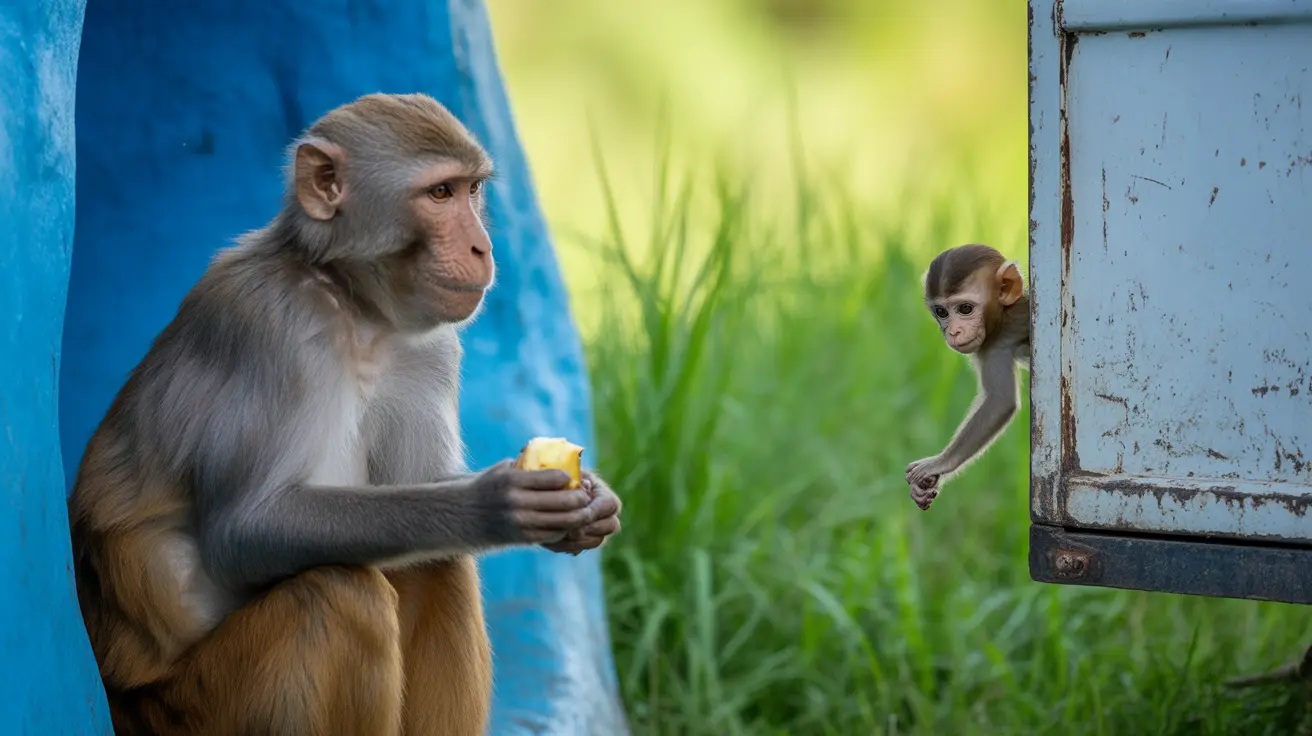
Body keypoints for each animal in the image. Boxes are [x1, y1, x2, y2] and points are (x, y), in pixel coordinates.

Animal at [66, 92, 622, 736]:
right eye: (440, 194)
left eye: (473, 189)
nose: (482, 247)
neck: (355, 305)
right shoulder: (272, 326)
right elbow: (243, 529)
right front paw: (490, 504)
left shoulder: (429, 349)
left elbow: (418, 494)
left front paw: (594, 501)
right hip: (187, 709)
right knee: (335, 596)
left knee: (436, 563)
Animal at [904, 243, 1029, 511]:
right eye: (941, 312)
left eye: (965, 309)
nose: (954, 331)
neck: (1002, 315)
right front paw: (928, 484)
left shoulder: (994, 348)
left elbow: (1000, 402)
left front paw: (939, 462)